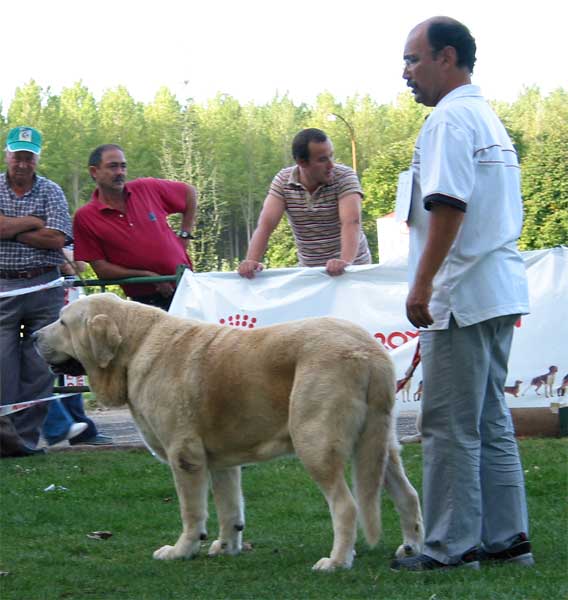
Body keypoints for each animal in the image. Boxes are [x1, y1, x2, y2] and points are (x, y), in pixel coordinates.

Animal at [34, 292, 422, 568]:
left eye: (63, 322)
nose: (34, 335)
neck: (134, 344)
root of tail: (367, 351)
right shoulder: (221, 461)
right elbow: (229, 507)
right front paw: (226, 546)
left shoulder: (185, 455)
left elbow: (192, 512)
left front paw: (181, 550)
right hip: (378, 446)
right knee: (408, 495)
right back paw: (411, 549)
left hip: (316, 442)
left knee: (346, 506)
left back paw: (337, 561)